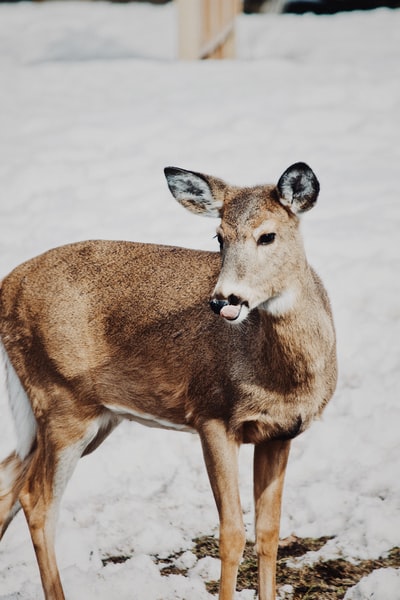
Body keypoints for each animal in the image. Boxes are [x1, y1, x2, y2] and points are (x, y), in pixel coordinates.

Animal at [0, 163, 336, 600]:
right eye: (219, 236)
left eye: (268, 235)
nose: (223, 299)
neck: (281, 379)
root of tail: (6, 288)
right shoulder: (212, 416)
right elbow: (231, 533)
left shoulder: (280, 433)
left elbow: (268, 531)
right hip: (62, 401)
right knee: (37, 501)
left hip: (81, 415)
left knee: (8, 479)